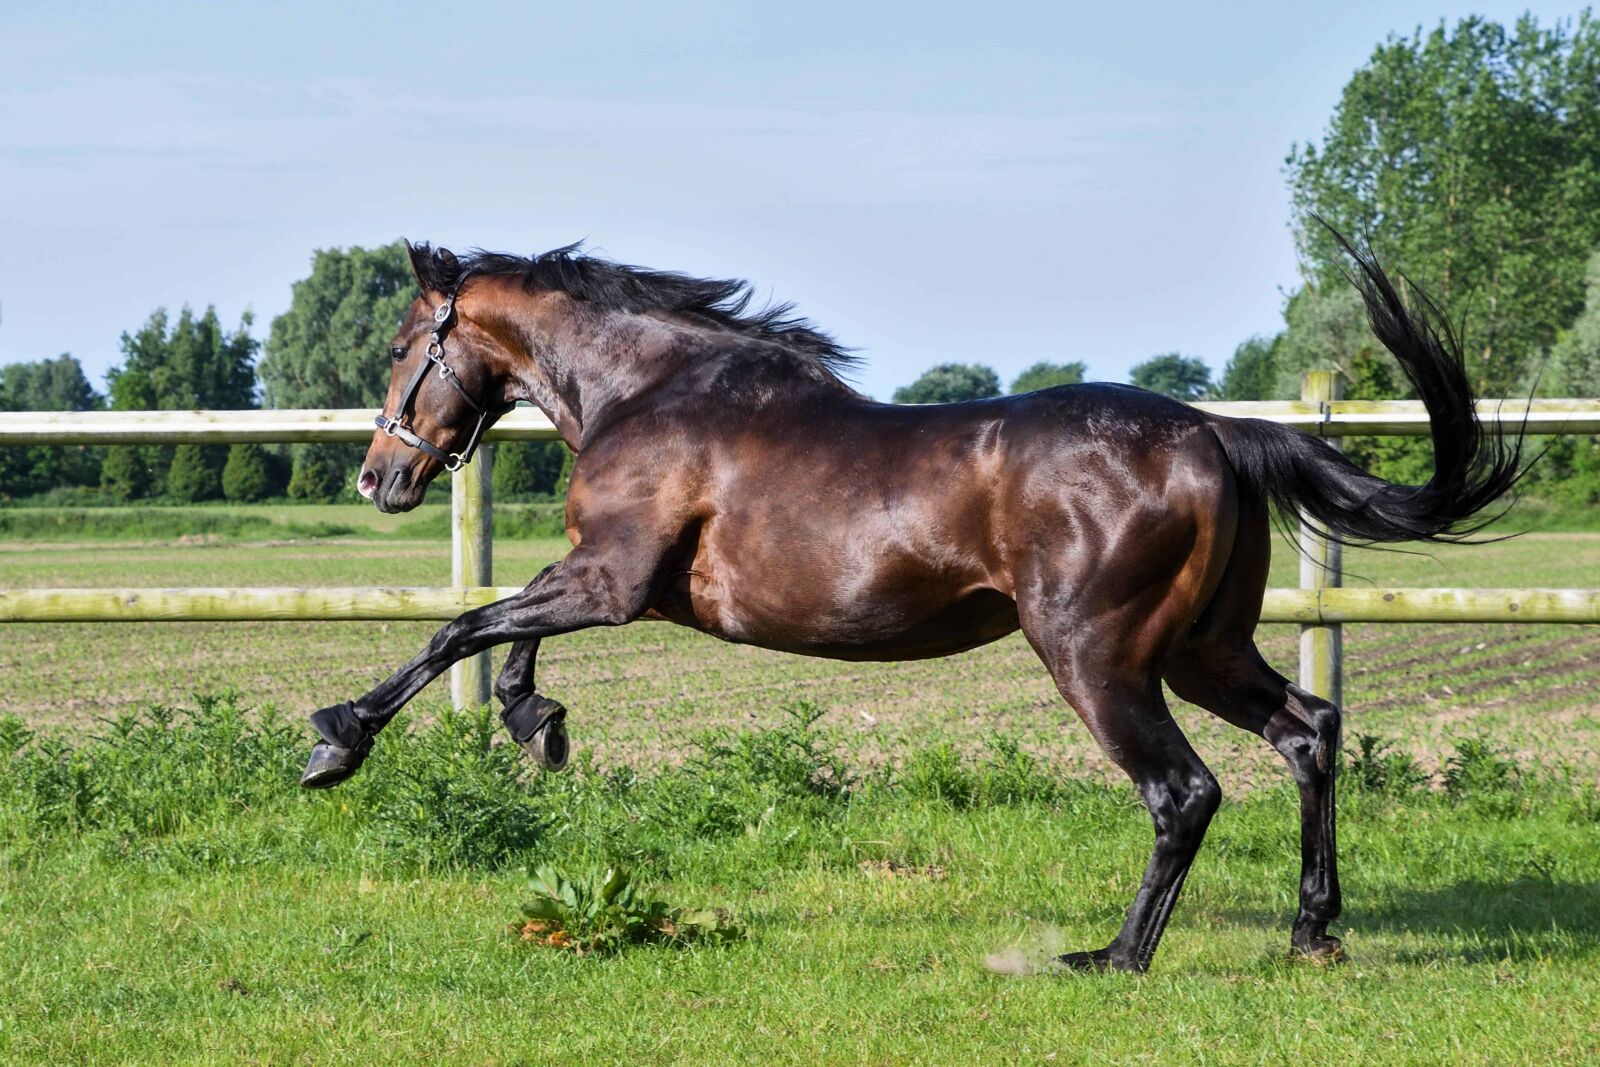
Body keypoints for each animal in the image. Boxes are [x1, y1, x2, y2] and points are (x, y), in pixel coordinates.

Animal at [299, 231, 1523, 973]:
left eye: (405, 345)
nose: (378, 476)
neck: (650, 393)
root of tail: (1218, 432)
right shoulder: (605, 584)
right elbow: (497, 640)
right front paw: (536, 725)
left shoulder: (609, 579)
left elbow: (460, 625)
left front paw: (334, 743)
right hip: (1201, 650)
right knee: (1307, 731)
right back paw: (1311, 931)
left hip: (1096, 657)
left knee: (1183, 790)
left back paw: (1115, 956)